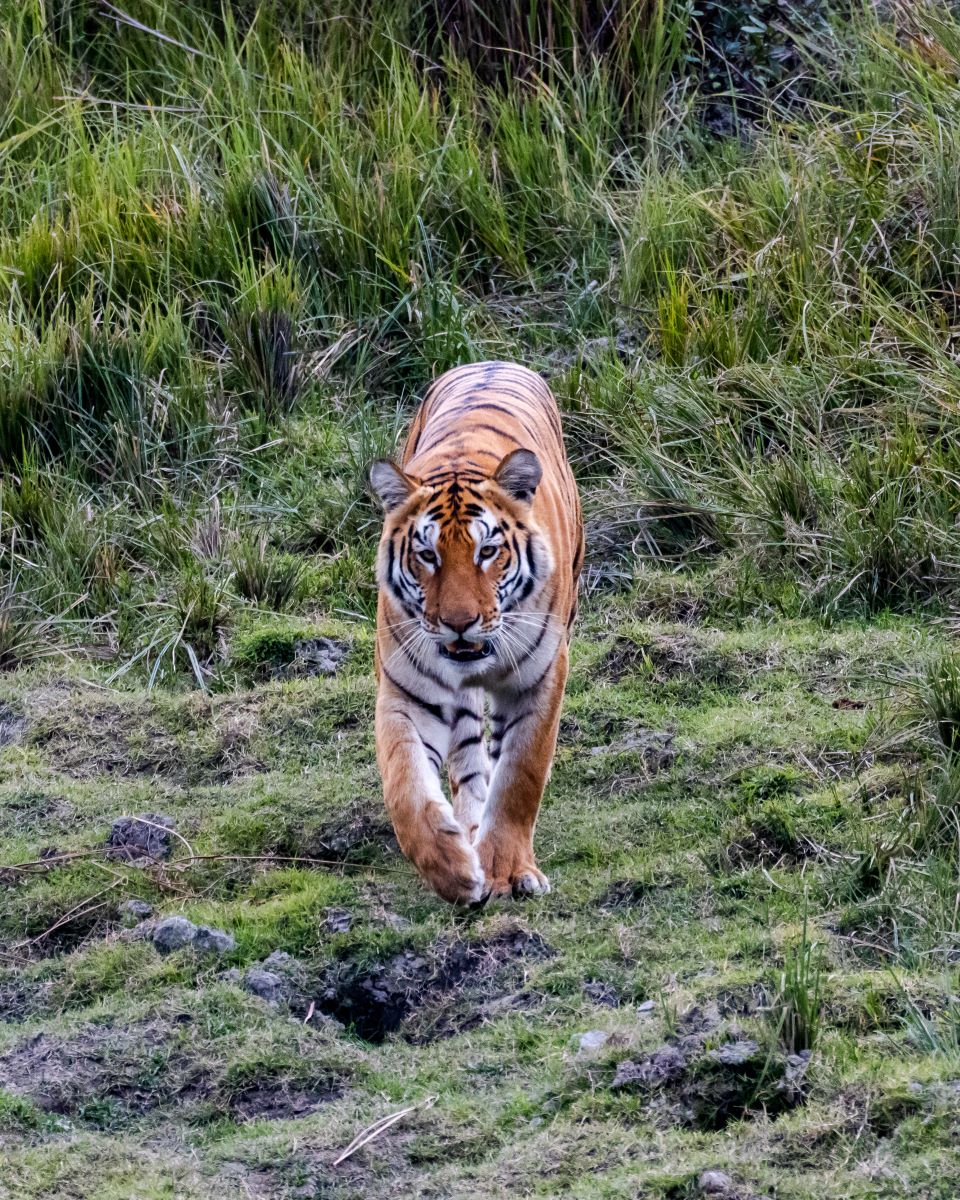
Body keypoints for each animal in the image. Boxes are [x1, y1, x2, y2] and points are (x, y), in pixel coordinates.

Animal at [369, 360, 585, 902]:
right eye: (427, 555)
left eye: (488, 551)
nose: (459, 622)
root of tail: (492, 361)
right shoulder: (406, 692)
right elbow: (405, 784)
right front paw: (453, 870)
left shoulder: (539, 679)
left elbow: (519, 776)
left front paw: (507, 872)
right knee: (467, 757)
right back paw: (467, 832)